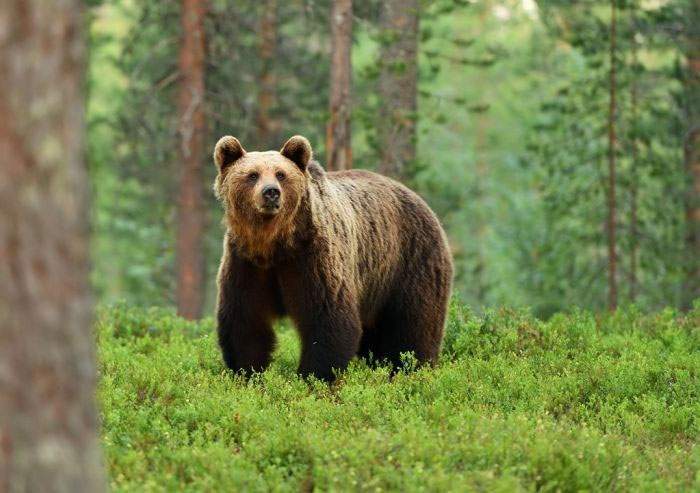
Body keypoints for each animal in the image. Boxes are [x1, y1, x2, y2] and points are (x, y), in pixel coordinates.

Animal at [213, 135, 454, 380]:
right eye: (252, 175)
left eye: (281, 174)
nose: (271, 192)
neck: (274, 244)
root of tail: (421, 201)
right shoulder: (246, 264)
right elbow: (246, 323)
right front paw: (249, 373)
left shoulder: (312, 259)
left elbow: (328, 320)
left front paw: (313, 377)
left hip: (410, 261)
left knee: (414, 327)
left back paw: (412, 369)